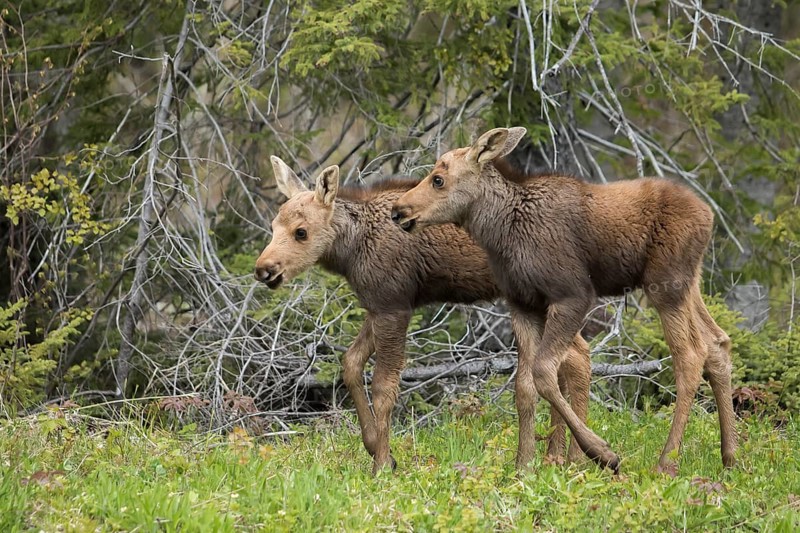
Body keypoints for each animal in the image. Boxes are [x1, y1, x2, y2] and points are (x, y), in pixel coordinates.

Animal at [255, 156, 592, 474]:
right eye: (272, 226)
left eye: (301, 232)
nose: (263, 269)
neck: (351, 251)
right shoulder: (378, 305)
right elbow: (350, 363)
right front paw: (375, 446)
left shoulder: (394, 306)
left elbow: (383, 387)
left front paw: (381, 464)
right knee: (575, 355)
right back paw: (558, 455)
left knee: (574, 357)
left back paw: (572, 456)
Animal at [391, 127, 737, 475]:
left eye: (438, 179)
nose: (398, 210)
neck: (502, 234)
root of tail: (710, 215)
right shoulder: (522, 304)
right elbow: (524, 386)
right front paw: (523, 464)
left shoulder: (572, 294)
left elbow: (544, 373)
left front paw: (601, 452)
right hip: (688, 282)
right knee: (717, 341)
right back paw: (731, 455)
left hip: (666, 284)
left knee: (690, 355)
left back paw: (666, 462)